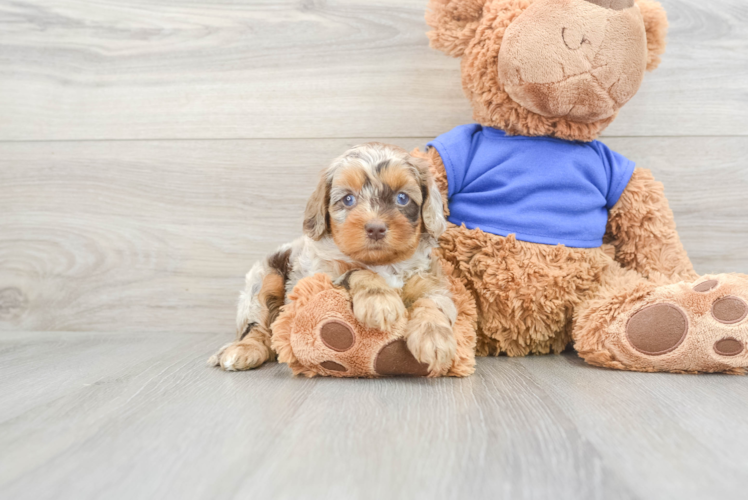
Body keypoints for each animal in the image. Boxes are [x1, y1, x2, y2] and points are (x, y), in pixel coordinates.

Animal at [207, 142, 458, 376]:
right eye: (348, 199)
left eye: (402, 198)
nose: (375, 228)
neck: (384, 264)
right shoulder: (318, 281)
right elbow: (357, 271)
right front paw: (379, 301)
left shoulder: (430, 280)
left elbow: (432, 302)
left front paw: (434, 337)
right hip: (263, 278)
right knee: (257, 327)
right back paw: (243, 351)